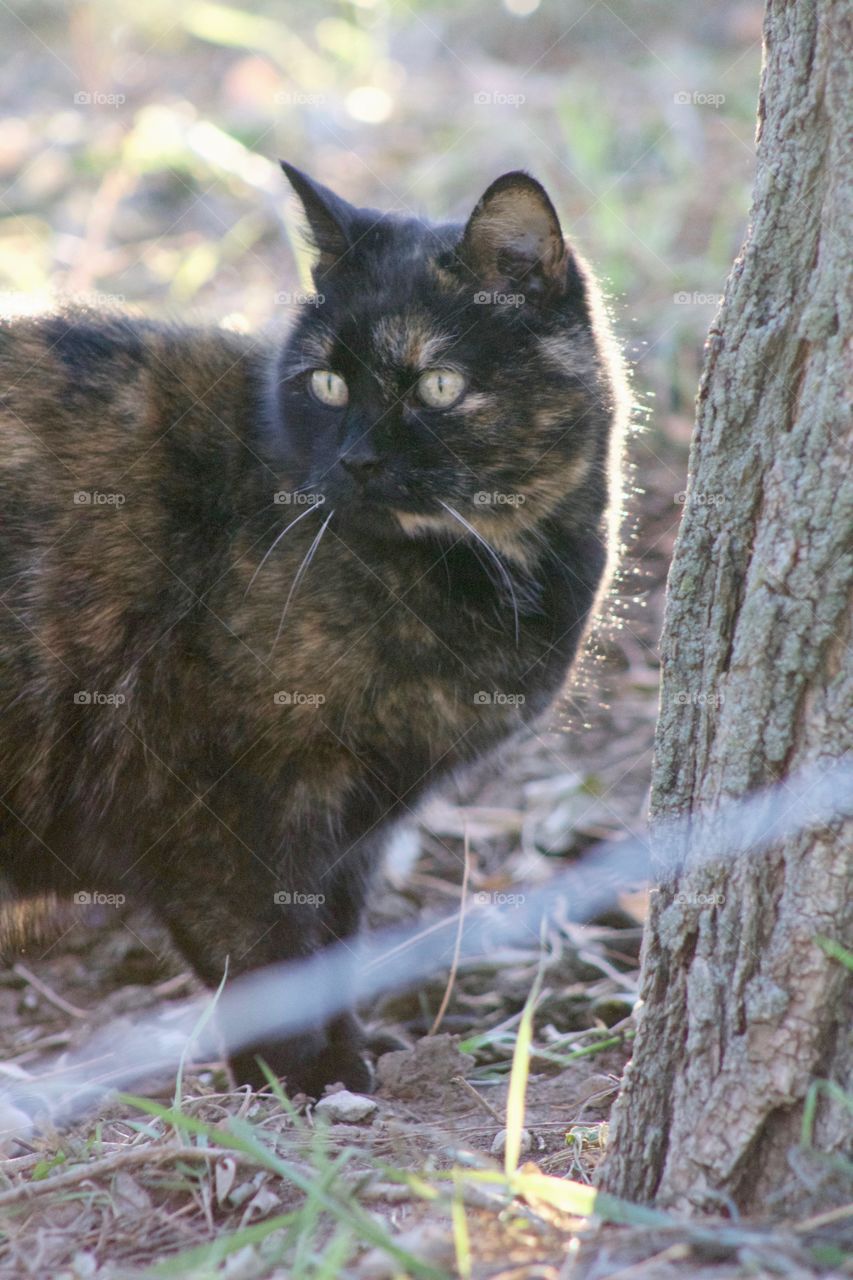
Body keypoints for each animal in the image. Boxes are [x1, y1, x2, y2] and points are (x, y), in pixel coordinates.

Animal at [0, 165, 625, 1095]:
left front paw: (353, 1058)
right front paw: (306, 1080)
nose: (358, 460)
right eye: (327, 384)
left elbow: (331, 946)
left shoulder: (354, 832)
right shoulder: (217, 804)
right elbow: (264, 955)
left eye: (436, 384)